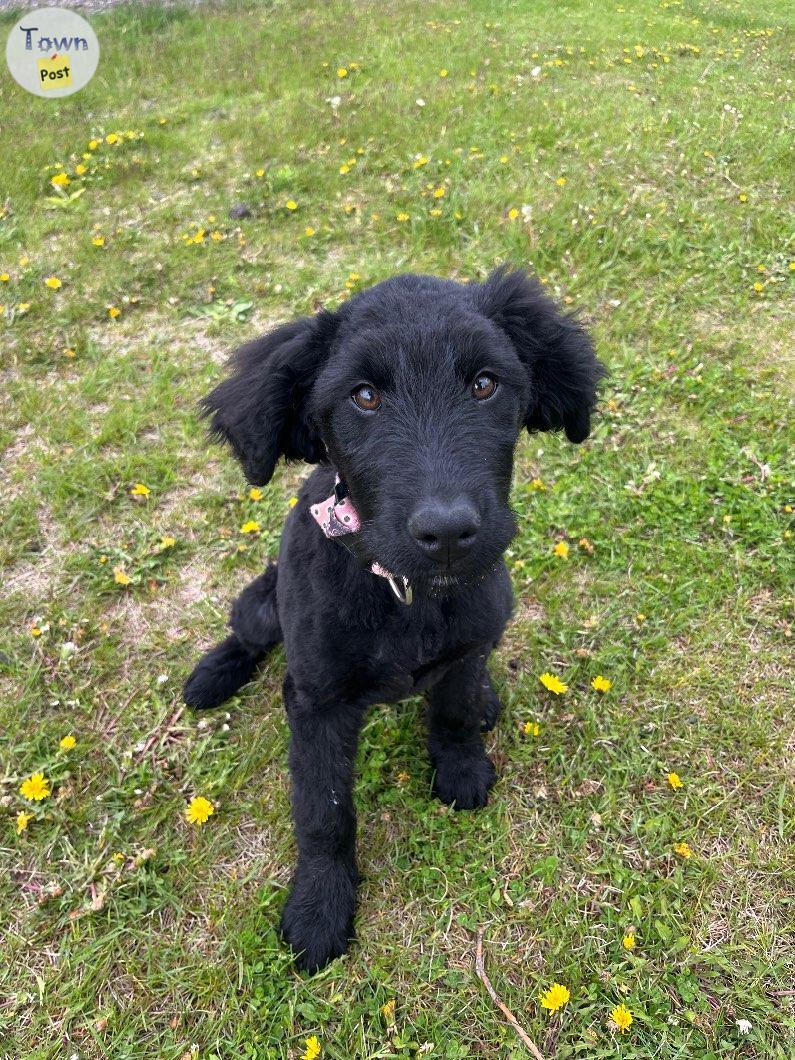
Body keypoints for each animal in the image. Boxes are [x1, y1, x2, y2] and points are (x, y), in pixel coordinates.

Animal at [185, 265, 602, 970]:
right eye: (364, 396)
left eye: (484, 384)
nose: (449, 534)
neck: (405, 595)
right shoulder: (317, 703)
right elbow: (323, 810)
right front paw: (320, 905)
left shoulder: (467, 647)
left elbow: (455, 711)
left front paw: (460, 767)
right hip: (263, 604)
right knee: (246, 632)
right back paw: (212, 675)